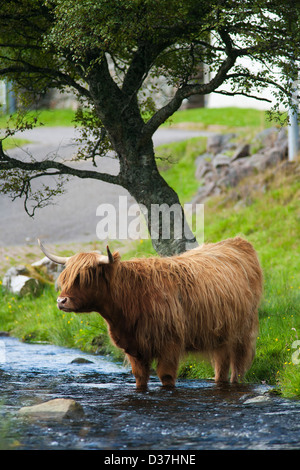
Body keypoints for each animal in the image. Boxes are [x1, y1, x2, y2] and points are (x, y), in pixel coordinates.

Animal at [38, 237, 262, 388]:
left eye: (84, 278)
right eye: (65, 277)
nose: (61, 301)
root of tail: (237, 241)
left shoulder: (170, 345)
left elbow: (166, 377)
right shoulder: (134, 349)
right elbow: (140, 378)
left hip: (243, 333)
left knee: (238, 366)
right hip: (221, 335)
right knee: (221, 366)